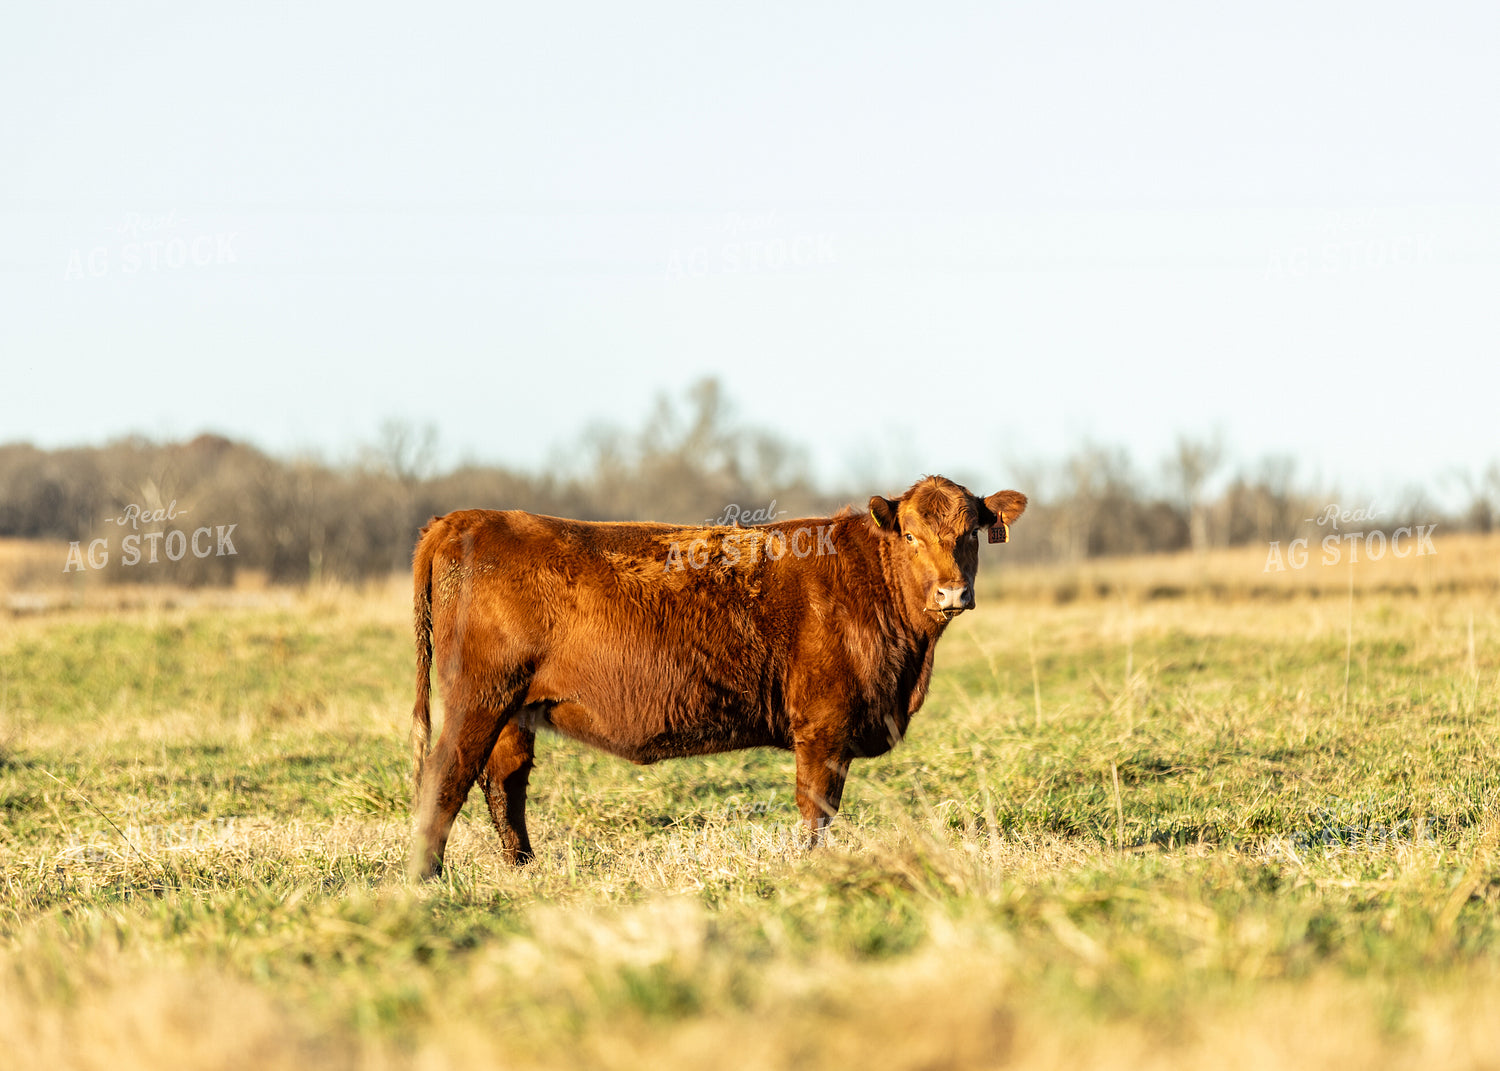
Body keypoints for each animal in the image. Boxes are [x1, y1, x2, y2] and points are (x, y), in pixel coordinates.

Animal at [407, 475, 1026, 879]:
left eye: (970, 534)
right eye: (911, 536)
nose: (952, 593)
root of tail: (464, 519)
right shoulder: (823, 727)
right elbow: (816, 809)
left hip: (515, 709)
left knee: (503, 783)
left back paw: (524, 871)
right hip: (479, 699)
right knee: (445, 777)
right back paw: (426, 880)